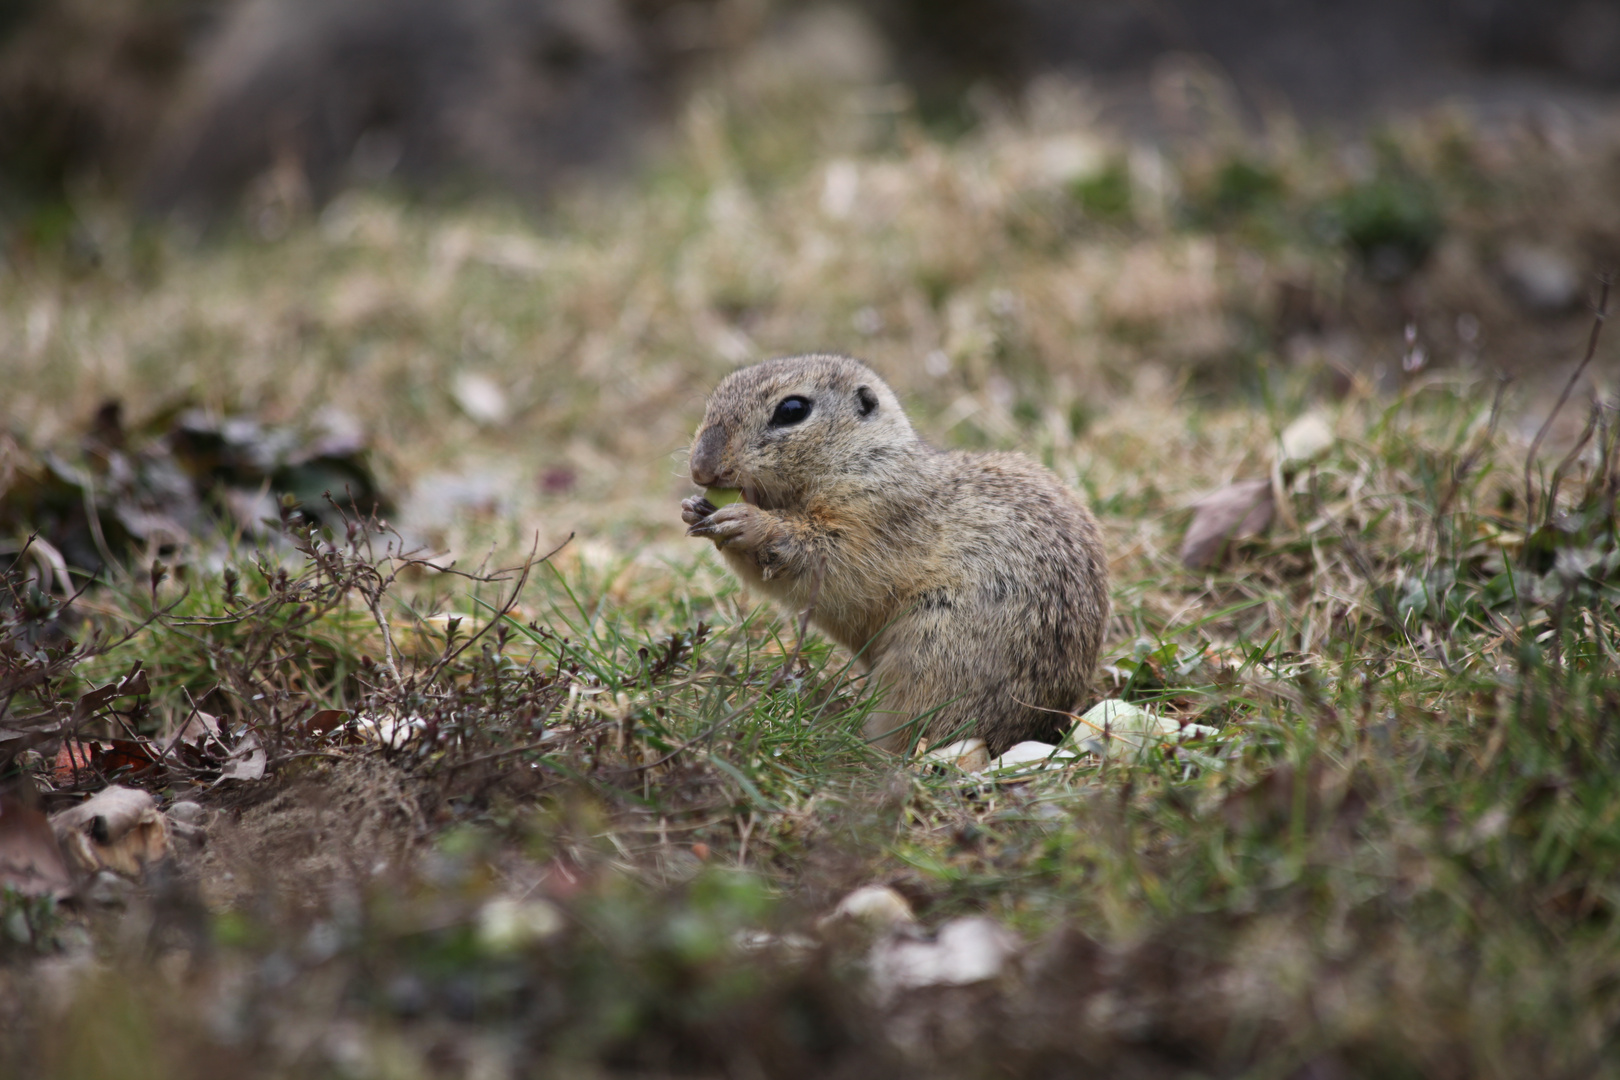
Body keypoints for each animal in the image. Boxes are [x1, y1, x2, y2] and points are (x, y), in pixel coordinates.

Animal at [677, 352, 1108, 751]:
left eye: (792, 410)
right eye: (719, 393)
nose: (701, 468)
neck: (860, 458)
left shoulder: (872, 520)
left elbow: (819, 556)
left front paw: (748, 522)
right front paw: (694, 509)